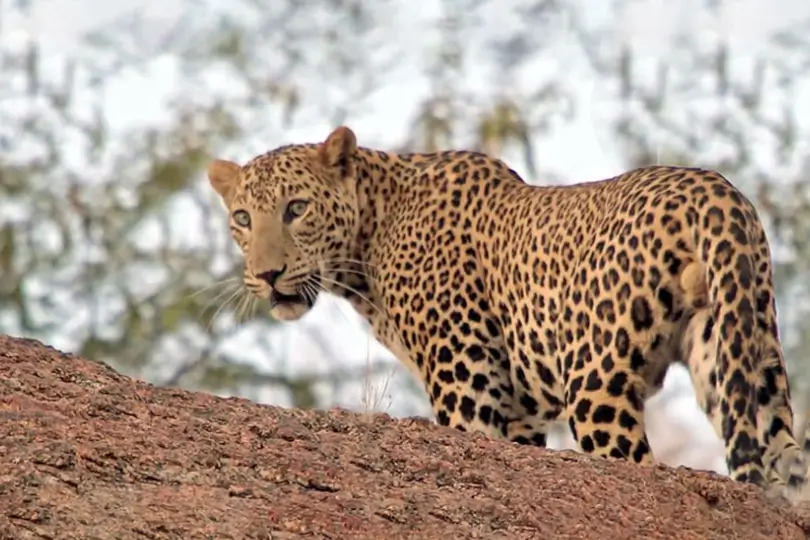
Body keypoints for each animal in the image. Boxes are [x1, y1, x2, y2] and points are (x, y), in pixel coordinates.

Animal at [206, 125, 808, 498]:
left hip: (597, 382)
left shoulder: (468, 390)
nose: (267, 275)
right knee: (787, 460)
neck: (368, 237)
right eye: (242, 218)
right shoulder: (520, 415)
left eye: (296, 209)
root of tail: (713, 188)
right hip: (744, 351)